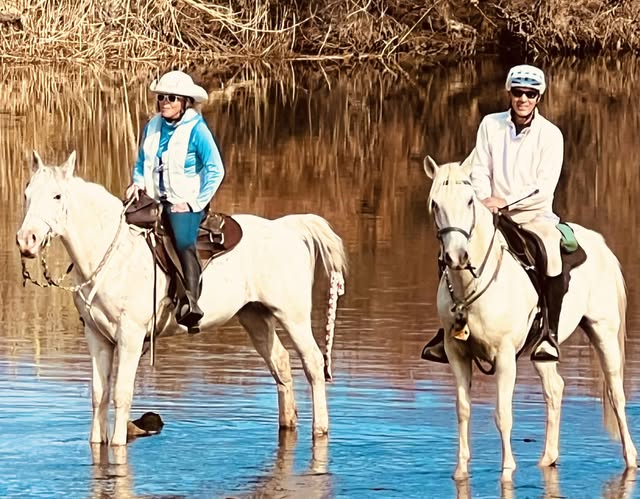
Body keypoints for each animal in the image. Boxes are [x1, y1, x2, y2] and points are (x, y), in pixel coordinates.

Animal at [16, 151, 344, 446]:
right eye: (27, 194)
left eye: (57, 196)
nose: (26, 240)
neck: (114, 254)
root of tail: (286, 228)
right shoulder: (96, 336)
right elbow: (100, 395)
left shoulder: (131, 336)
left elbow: (122, 394)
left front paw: (118, 445)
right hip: (255, 316)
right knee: (281, 364)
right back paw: (288, 425)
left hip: (293, 316)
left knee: (314, 363)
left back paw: (320, 429)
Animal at [422, 157, 636, 484]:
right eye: (435, 203)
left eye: (470, 201)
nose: (456, 257)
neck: (472, 284)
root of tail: (599, 243)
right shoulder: (456, 353)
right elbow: (463, 410)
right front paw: (460, 471)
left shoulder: (505, 355)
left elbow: (503, 414)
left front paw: (507, 470)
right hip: (542, 350)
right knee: (555, 389)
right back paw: (548, 458)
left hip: (604, 333)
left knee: (616, 394)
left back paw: (631, 459)